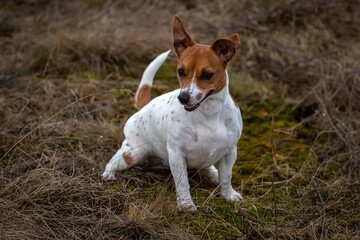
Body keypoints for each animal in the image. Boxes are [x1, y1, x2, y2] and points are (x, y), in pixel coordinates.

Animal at [101, 15, 242, 210]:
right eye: (180, 71)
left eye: (207, 74)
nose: (183, 97)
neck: (208, 113)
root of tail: (144, 107)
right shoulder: (176, 154)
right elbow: (182, 181)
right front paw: (185, 204)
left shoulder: (230, 152)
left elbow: (226, 177)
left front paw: (228, 195)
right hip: (133, 153)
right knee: (113, 160)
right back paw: (109, 173)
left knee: (210, 168)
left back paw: (214, 174)